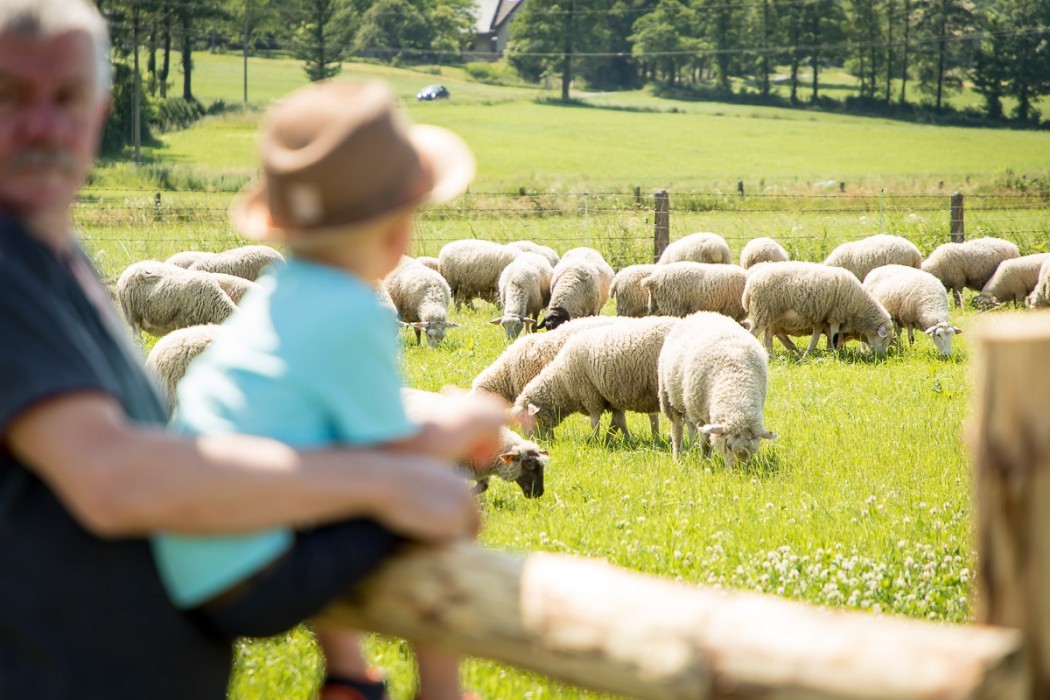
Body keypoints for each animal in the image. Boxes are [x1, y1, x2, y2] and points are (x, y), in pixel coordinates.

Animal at [510, 316, 676, 440]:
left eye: (526, 420)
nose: (536, 443)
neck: (562, 380)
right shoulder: (613, 397)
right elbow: (620, 422)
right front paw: (625, 440)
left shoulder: (590, 395)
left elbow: (595, 422)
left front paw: (597, 441)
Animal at [659, 312, 776, 465]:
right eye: (728, 446)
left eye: (753, 451)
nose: (739, 470)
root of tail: (702, 313)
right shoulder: (702, 417)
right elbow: (706, 444)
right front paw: (704, 462)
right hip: (671, 399)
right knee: (677, 429)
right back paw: (677, 457)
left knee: (690, 426)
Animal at [739, 260, 894, 356]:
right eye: (885, 339)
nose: (882, 357)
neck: (858, 307)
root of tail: (749, 285)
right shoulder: (835, 317)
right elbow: (833, 338)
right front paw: (834, 355)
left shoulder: (821, 321)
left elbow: (817, 339)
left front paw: (811, 354)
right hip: (763, 312)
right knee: (754, 333)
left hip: (772, 316)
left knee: (768, 337)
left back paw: (770, 354)